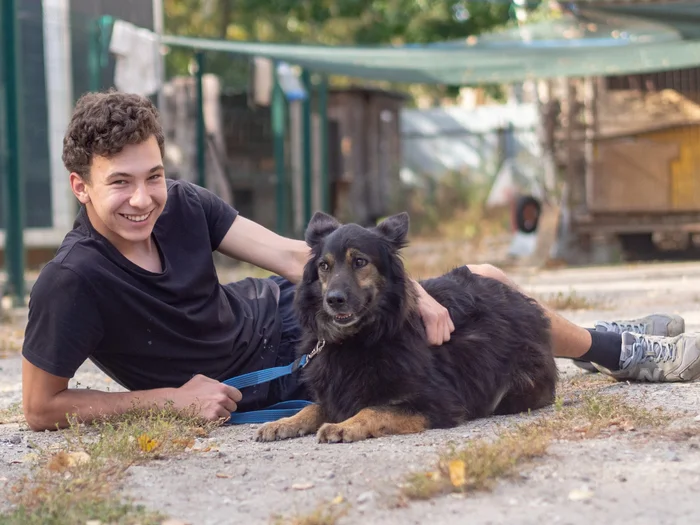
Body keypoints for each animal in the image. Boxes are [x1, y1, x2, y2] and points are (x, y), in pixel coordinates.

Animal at [258, 212, 556, 442]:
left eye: (360, 262)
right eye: (324, 266)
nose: (333, 300)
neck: (361, 337)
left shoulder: (438, 401)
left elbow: (373, 410)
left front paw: (343, 426)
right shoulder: (335, 392)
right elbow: (312, 408)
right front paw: (282, 422)